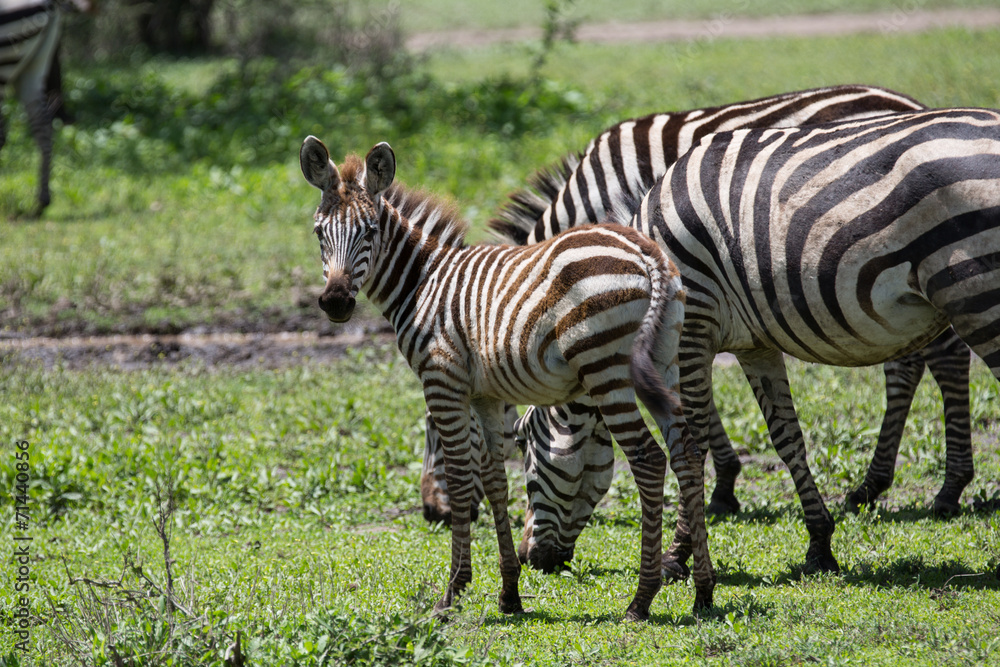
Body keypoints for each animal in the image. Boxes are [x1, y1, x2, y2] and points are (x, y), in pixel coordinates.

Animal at [299, 136, 715, 619]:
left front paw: (453, 590)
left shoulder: (443, 383)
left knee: (648, 459)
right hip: (664, 363)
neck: (423, 285)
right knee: (687, 452)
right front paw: (509, 593)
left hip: (607, 369)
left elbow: (461, 481)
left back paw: (642, 597)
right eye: (319, 233)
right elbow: (495, 481)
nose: (336, 303)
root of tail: (648, 255)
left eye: (368, 231)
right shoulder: (487, 397)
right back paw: (704, 590)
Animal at [423, 85, 977, 571]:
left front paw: (719, 491)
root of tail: (905, 101)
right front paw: (726, 484)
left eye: (435, 424)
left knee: (944, 356)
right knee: (912, 362)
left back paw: (943, 488)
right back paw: (882, 484)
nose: (434, 513)